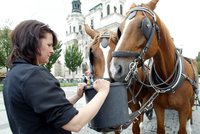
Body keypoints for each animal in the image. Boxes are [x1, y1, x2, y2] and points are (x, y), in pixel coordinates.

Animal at [110, 0, 199, 133]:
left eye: (146, 26)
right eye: (119, 30)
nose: (115, 69)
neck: (168, 81)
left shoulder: (183, 109)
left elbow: (183, 126)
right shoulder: (158, 108)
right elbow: (160, 128)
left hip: (192, 98)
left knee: (190, 112)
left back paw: (190, 126)